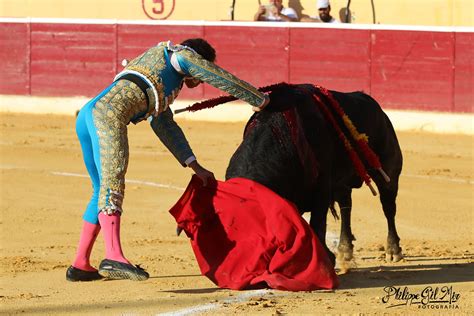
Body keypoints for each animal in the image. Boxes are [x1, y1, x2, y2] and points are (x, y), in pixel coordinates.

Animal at [224, 83, 402, 264]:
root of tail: (376, 107)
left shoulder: (321, 189)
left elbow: (317, 222)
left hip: (389, 171)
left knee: (388, 206)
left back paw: (393, 250)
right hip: (341, 183)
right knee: (346, 207)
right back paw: (345, 249)